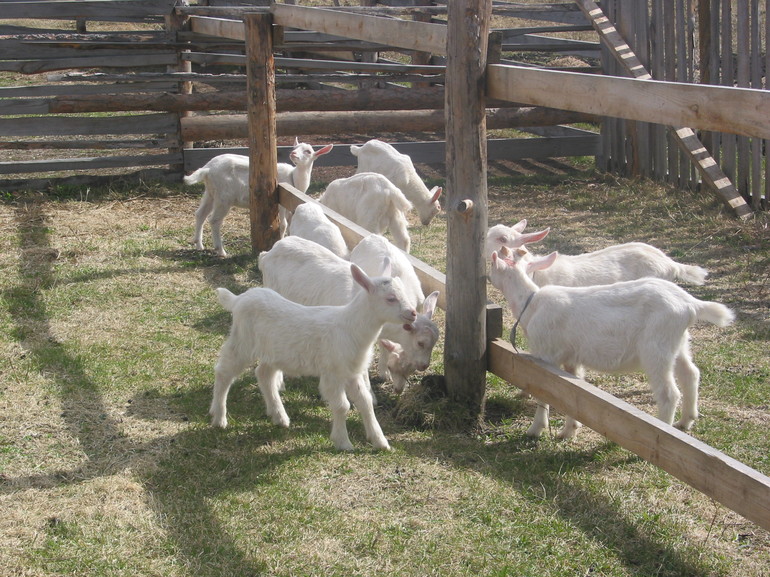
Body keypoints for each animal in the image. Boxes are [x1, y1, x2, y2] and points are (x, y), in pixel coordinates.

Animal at [186, 138, 332, 255]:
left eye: (308, 151)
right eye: (294, 148)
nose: (293, 153)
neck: (294, 178)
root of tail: (207, 169)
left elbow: (290, 224)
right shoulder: (280, 201)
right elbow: (283, 224)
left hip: (211, 192)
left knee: (200, 214)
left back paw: (199, 244)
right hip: (223, 196)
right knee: (214, 220)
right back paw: (221, 251)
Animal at [210, 258, 414, 450]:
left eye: (404, 293)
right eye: (391, 298)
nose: (412, 313)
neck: (350, 327)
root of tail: (238, 299)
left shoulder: (351, 371)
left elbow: (365, 402)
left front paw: (380, 441)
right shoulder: (333, 371)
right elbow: (342, 406)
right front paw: (343, 442)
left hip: (274, 351)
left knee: (263, 374)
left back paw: (279, 416)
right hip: (243, 341)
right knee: (224, 372)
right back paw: (219, 418)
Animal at [488, 245, 736, 438]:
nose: (487, 275)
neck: (531, 302)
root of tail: (692, 305)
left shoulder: (545, 355)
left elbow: (544, 393)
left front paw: (535, 430)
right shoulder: (571, 359)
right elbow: (572, 392)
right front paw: (568, 431)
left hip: (656, 348)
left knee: (668, 393)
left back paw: (663, 432)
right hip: (678, 342)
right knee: (690, 373)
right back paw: (685, 421)